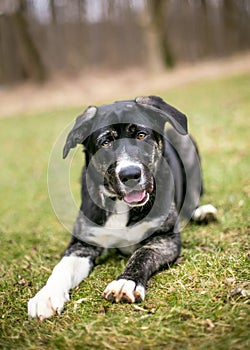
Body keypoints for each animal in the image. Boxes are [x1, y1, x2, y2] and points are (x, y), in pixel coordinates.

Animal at [27, 95, 217, 320]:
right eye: (106, 142)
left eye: (141, 135)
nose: (130, 174)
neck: (121, 204)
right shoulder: (83, 243)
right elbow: (61, 267)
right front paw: (46, 295)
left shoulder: (166, 237)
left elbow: (142, 254)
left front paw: (126, 282)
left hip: (187, 145)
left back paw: (202, 212)